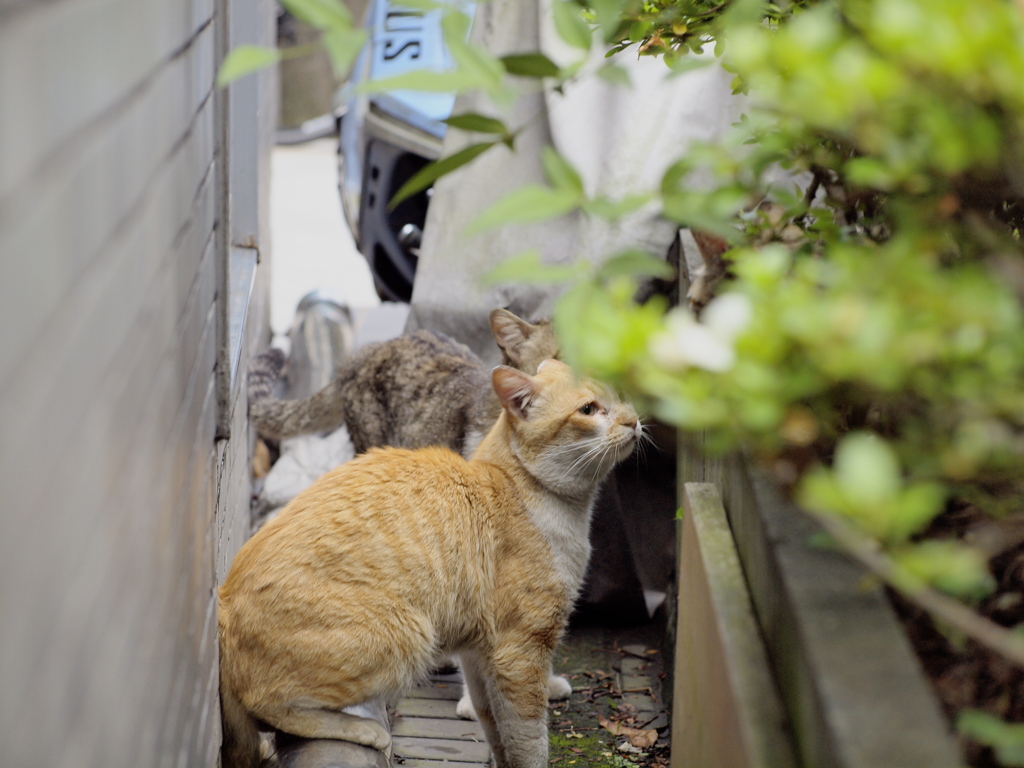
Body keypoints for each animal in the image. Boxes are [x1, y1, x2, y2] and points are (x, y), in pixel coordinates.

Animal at [218, 360, 638, 768]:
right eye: (589, 410)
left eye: (619, 397)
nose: (633, 420)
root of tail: (222, 599)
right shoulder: (520, 651)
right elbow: (529, 741)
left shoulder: (478, 655)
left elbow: (494, 728)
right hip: (409, 636)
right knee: (265, 704)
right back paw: (364, 730)